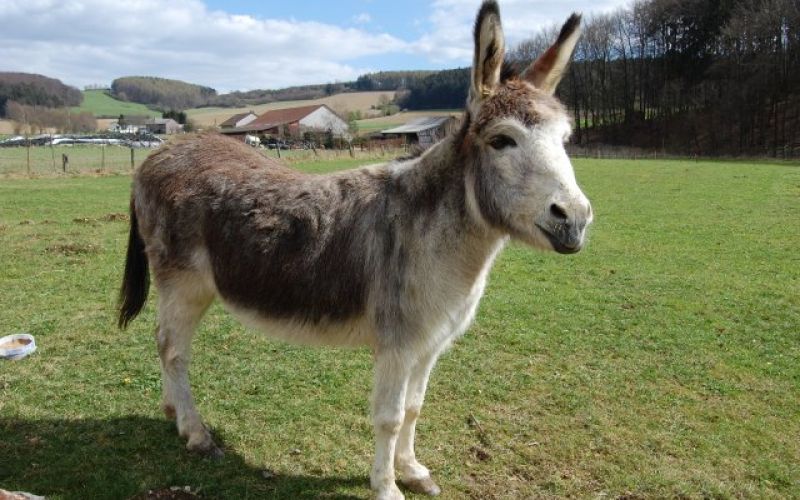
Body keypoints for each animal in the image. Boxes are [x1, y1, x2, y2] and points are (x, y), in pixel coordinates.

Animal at [118, 2, 590, 498]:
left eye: (564, 140)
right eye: (502, 141)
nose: (575, 220)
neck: (439, 231)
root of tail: (162, 152)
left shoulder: (429, 344)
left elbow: (415, 407)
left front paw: (413, 470)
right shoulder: (398, 344)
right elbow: (389, 417)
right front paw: (386, 486)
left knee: (166, 345)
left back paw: (173, 414)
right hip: (183, 284)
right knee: (172, 348)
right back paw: (195, 433)